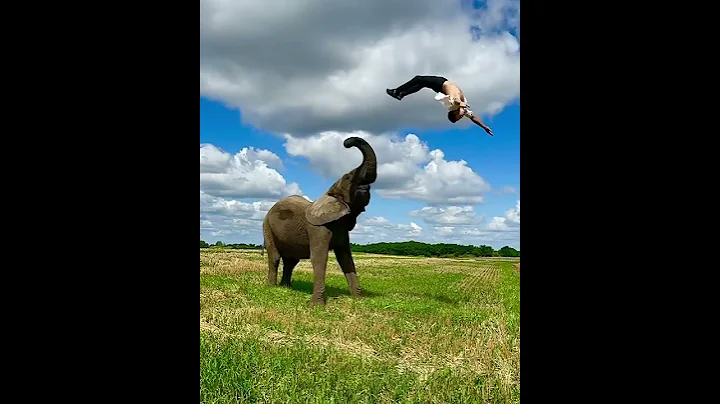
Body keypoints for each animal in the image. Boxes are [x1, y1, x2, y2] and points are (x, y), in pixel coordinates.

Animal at [262, 136, 377, 307]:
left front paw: (359, 300)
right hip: (267, 227)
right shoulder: (317, 228)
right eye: (348, 177)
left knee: (291, 261)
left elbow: (346, 259)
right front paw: (316, 306)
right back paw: (272, 287)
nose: (346, 142)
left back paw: (287, 287)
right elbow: (319, 258)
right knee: (275, 257)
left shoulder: (342, 228)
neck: (329, 194)